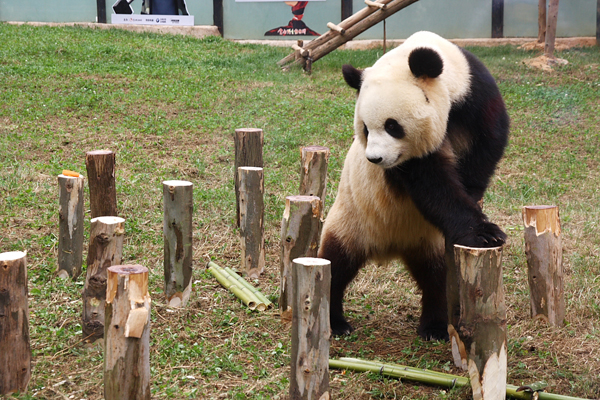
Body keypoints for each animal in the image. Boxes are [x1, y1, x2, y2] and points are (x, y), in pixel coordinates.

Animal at [316, 30, 508, 340]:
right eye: (365, 129)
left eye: (392, 126)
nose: (374, 158)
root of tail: (390, 246)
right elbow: (431, 182)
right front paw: (484, 232)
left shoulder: (476, 94)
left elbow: (489, 141)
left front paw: (477, 204)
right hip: (350, 219)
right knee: (335, 265)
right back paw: (335, 323)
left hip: (430, 240)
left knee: (437, 278)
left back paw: (434, 327)